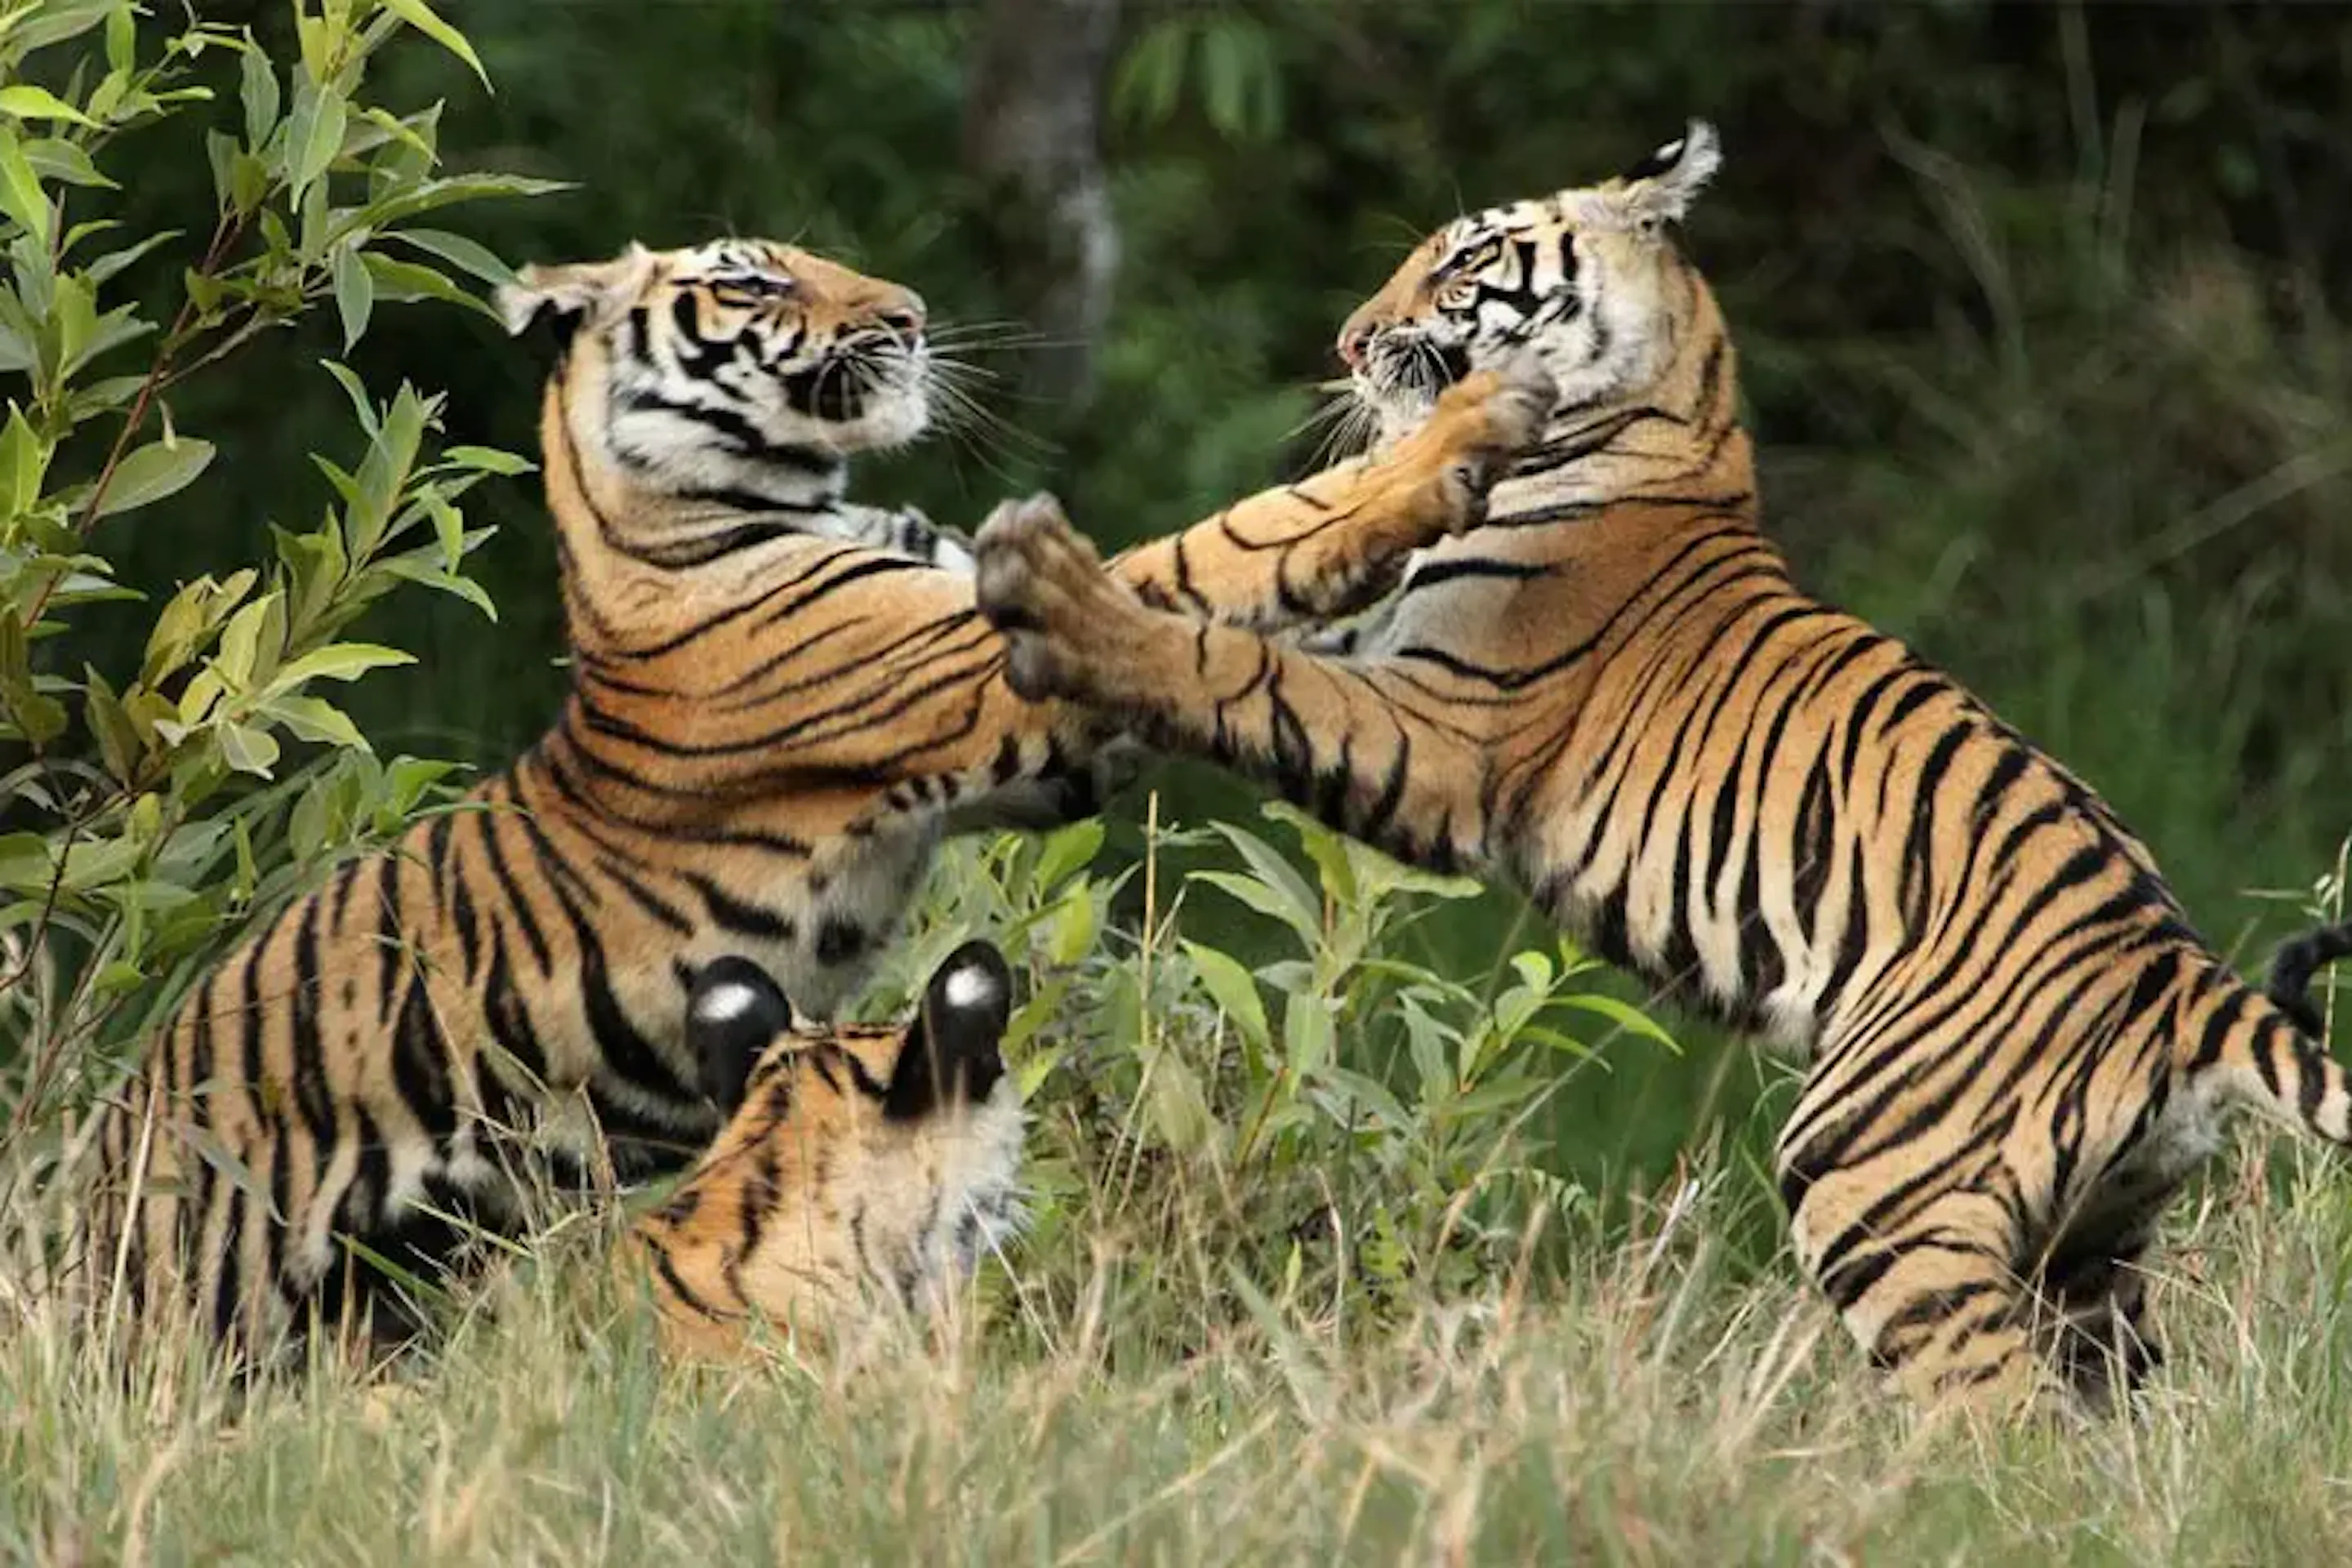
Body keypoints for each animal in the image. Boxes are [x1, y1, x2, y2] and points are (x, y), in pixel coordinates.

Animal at [972, 124, 2352, 1413]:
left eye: (1464, 260)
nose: (1352, 344)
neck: (1663, 426)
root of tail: (2179, 977)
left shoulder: (1445, 730)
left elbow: (1237, 664)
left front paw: (1079, 615)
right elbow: (1252, 576)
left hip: (1875, 1177)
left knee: (1995, 1418)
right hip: (2093, 1256)